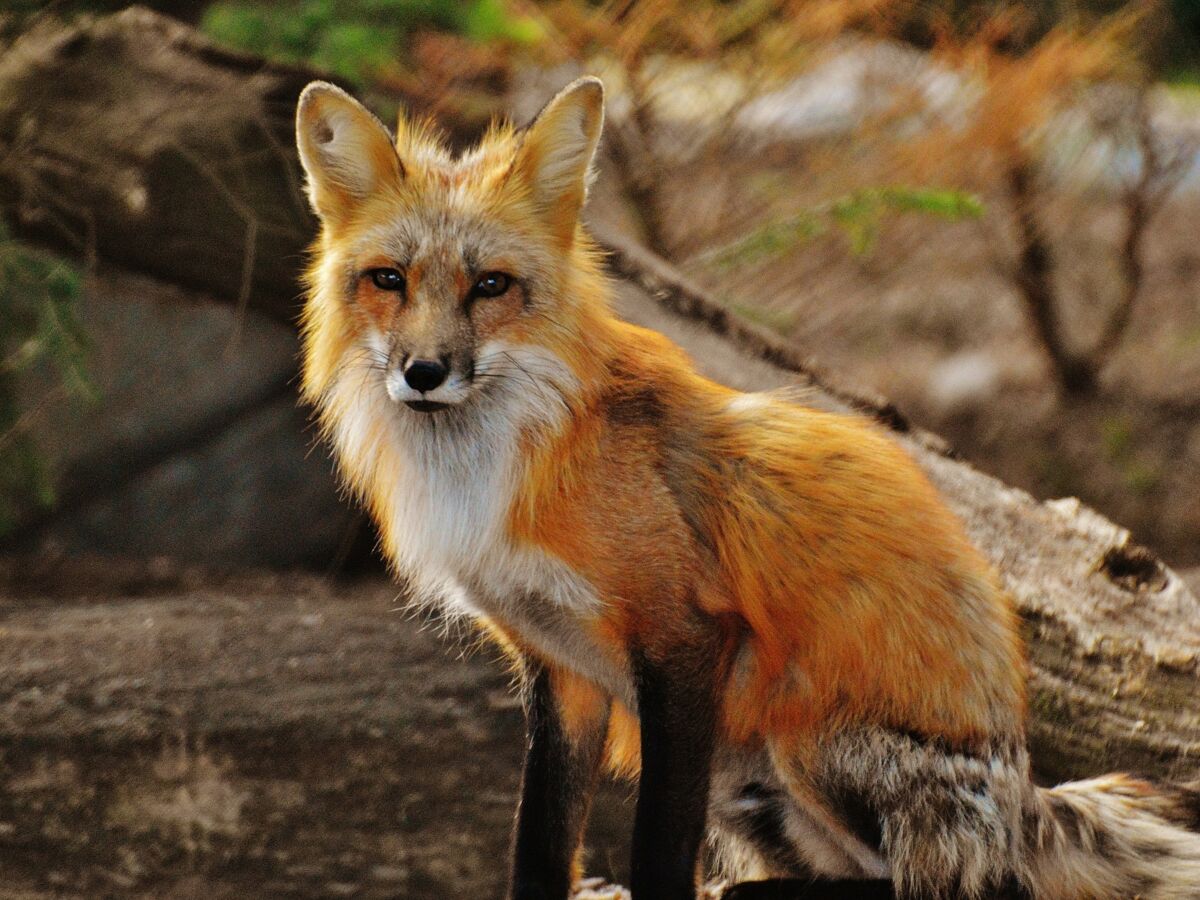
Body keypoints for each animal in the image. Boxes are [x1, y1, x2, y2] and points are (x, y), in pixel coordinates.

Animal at [292, 79, 1200, 900]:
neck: (501, 463)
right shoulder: (559, 670)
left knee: (954, 886)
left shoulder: (685, 641)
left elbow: (660, 846)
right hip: (745, 783)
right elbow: (540, 843)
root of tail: (1027, 799)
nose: (424, 372)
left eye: (491, 286)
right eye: (388, 280)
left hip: (803, 736)